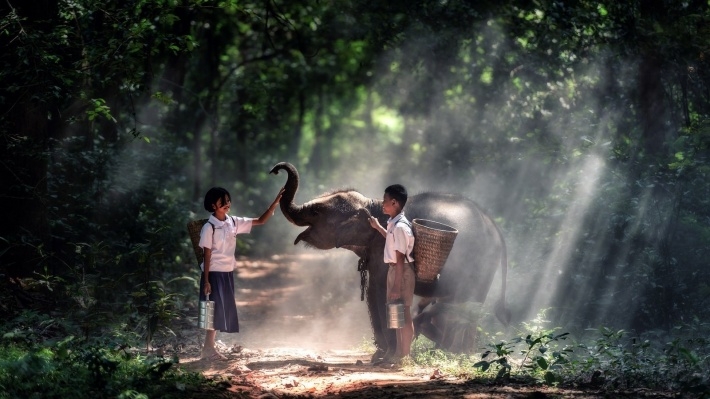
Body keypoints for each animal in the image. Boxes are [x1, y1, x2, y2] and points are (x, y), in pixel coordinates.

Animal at [268, 161, 512, 358]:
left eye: (317, 213)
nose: (275, 170)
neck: (372, 203)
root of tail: (494, 226)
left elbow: (382, 292)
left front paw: (387, 356)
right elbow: (372, 293)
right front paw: (379, 355)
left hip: (480, 263)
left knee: (466, 304)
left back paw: (454, 351)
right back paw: (448, 349)